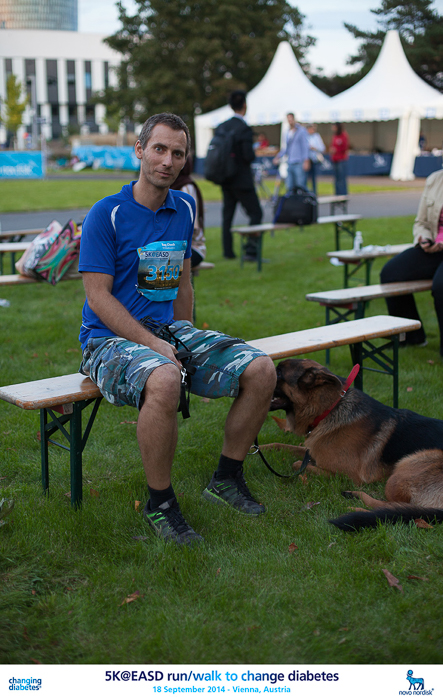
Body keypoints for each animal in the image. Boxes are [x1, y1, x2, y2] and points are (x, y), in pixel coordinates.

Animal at [265, 358, 443, 531]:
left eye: (279, 372)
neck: (329, 409)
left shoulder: (346, 475)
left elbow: (296, 464)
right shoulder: (311, 451)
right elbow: (278, 444)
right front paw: (262, 448)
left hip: (405, 467)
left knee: (395, 507)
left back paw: (355, 504)